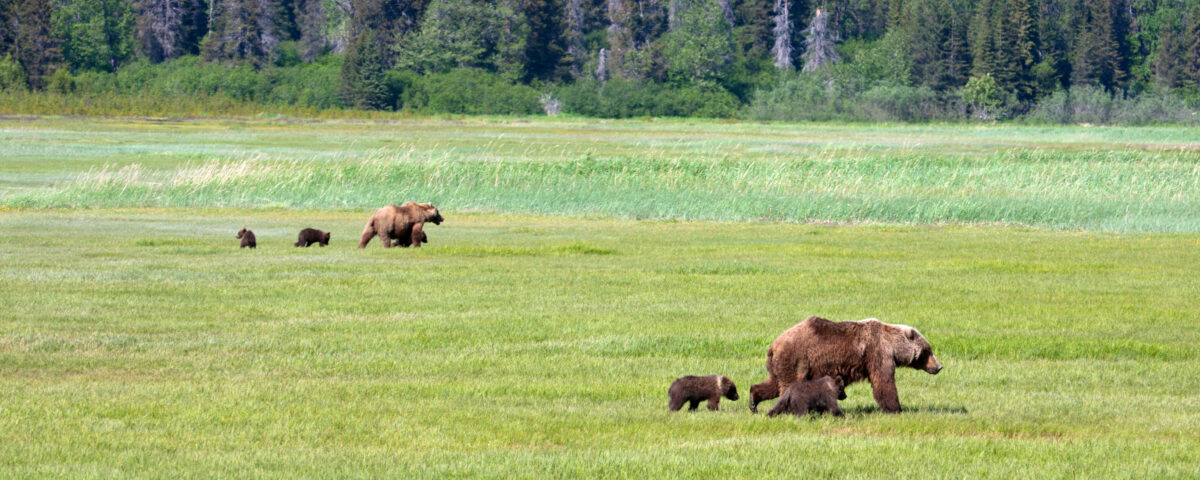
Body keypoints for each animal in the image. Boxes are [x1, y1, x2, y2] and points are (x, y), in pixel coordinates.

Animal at [748, 316, 936, 415]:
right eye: (928, 351)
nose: (938, 366)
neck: (893, 345)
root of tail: (774, 345)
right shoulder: (878, 353)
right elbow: (883, 382)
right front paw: (896, 408)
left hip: (780, 364)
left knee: (774, 383)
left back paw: (753, 401)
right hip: (797, 359)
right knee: (787, 384)